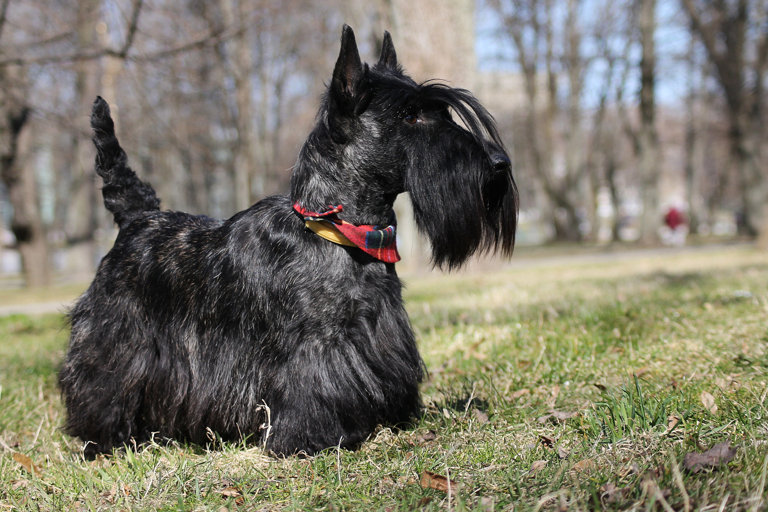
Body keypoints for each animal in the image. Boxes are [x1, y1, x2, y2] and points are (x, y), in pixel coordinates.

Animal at [58, 25, 516, 456]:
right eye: (409, 115)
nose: (499, 163)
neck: (338, 231)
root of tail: (139, 217)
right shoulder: (314, 346)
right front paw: (312, 438)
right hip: (115, 338)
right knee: (101, 385)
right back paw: (105, 439)